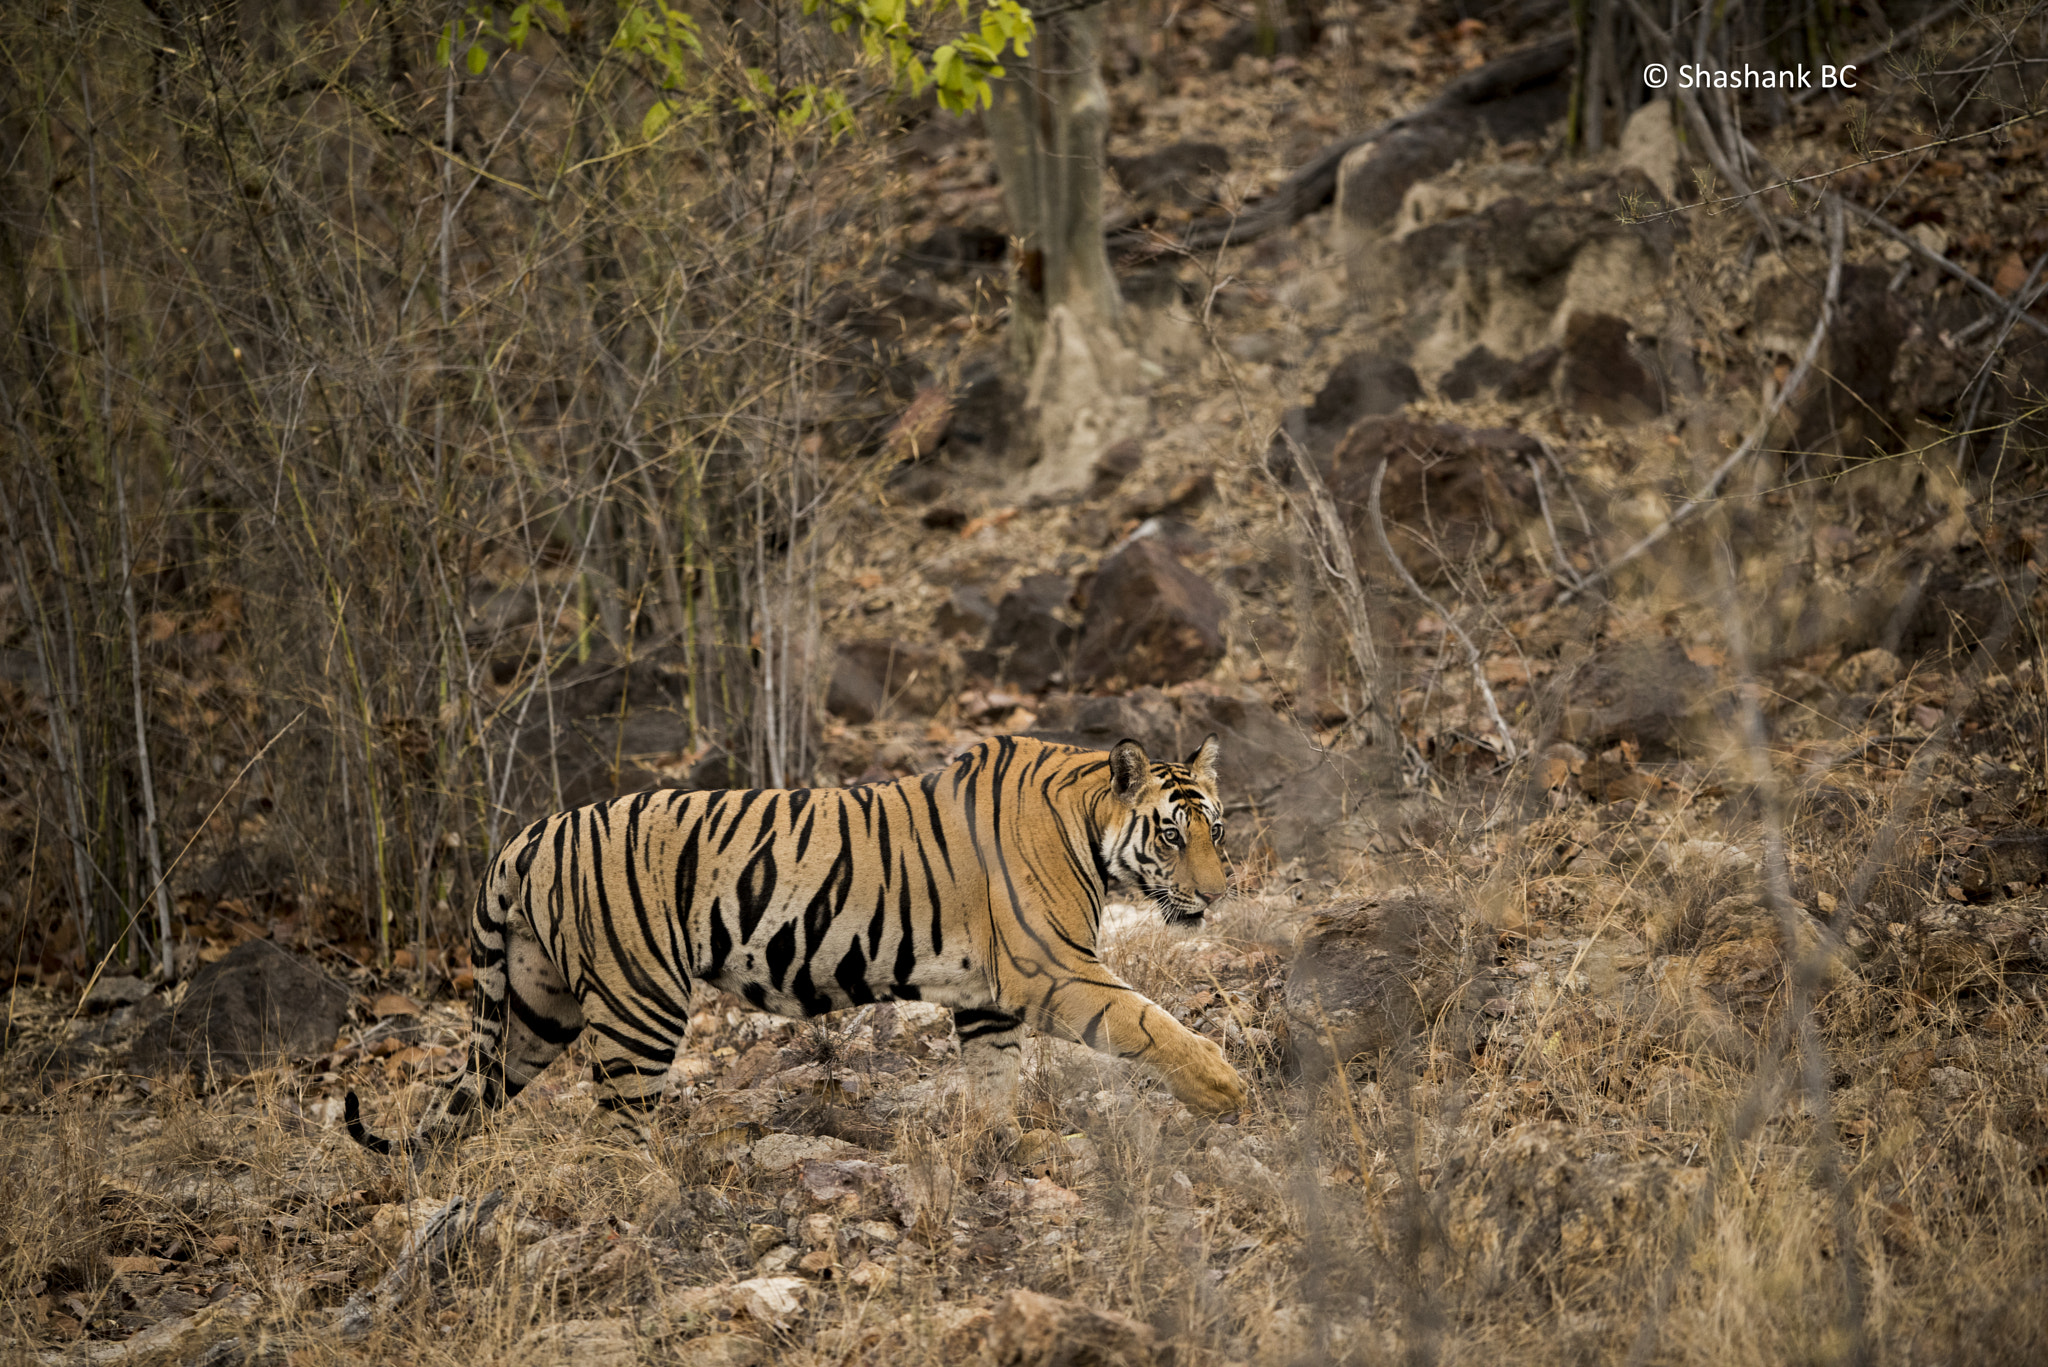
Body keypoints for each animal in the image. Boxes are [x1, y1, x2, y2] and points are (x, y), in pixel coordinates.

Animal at [346, 737, 1245, 1155]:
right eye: (1172, 835)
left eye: (1218, 830)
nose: (1216, 895)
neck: (1086, 820)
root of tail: (528, 835)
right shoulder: (1051, 968)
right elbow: (1146, 1021)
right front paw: (1222, 1088)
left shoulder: (990, 998)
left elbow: (994, 1078)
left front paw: (1001, 1144)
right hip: (638, 1006)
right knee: (615, 1132)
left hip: (535, 1009)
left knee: (466, 1103)